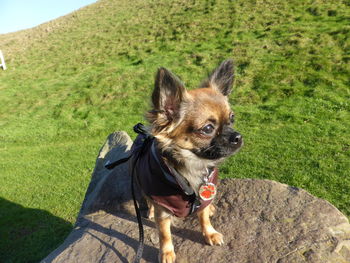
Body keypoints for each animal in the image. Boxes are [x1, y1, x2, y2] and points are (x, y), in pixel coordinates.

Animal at [135, 59, 242, 263]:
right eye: (208, 128)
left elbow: (203, 217)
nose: (238, 137)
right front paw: (167, 253)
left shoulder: (203, 196)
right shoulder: (163, 210)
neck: (192, 166)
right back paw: (150, 211)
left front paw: (209, 233)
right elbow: (164, 233)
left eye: (232, 119)